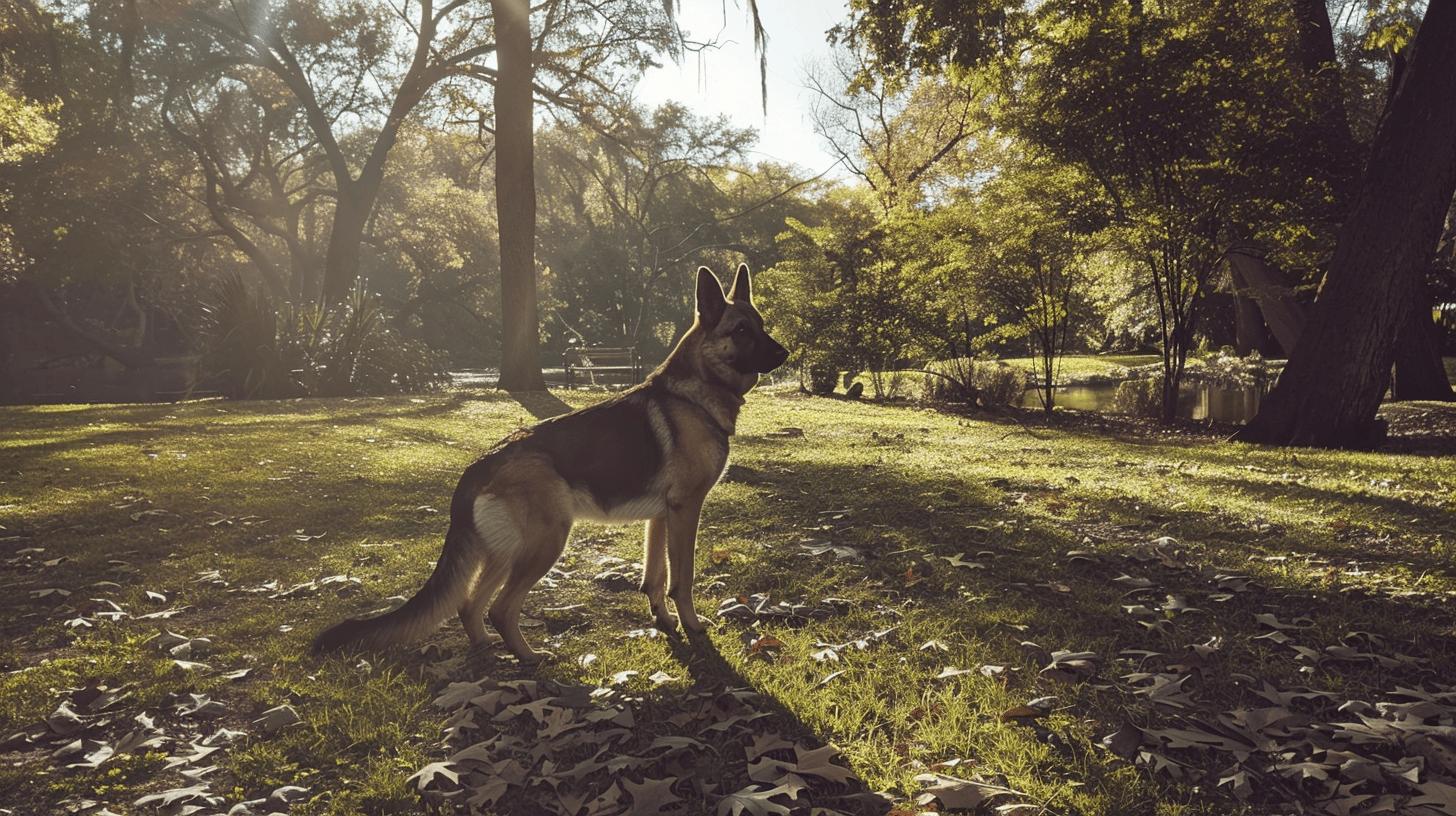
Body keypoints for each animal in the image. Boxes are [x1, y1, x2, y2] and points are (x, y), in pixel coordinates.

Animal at [314, 265, 792, 658]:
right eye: (741, 330)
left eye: (761, 326)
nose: (785, 354)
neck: (694, 392)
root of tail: (480, 464)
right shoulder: (685, 509)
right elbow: (682, 579)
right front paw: (692, 625)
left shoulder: (660, 518)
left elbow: (654, 578)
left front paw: (664, 621)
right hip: (546, 542)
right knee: (500, 608)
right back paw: (530, 658)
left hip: (507, 551)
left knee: (471, 605)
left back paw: (489, 651)